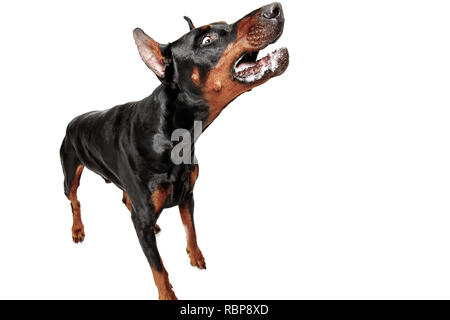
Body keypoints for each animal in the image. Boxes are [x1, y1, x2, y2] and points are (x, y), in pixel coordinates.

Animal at [59, 2, 288, 298]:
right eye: (206, 40)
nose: (275, 9)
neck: (175, 135)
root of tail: (72, 121)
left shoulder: (187, 194)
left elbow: (191, 230)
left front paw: (196, 255)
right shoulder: (144, 221)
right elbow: (158, 268)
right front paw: (167, 293)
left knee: (125, 199)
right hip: (69, 172)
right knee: (75, 200)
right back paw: (77, 228)